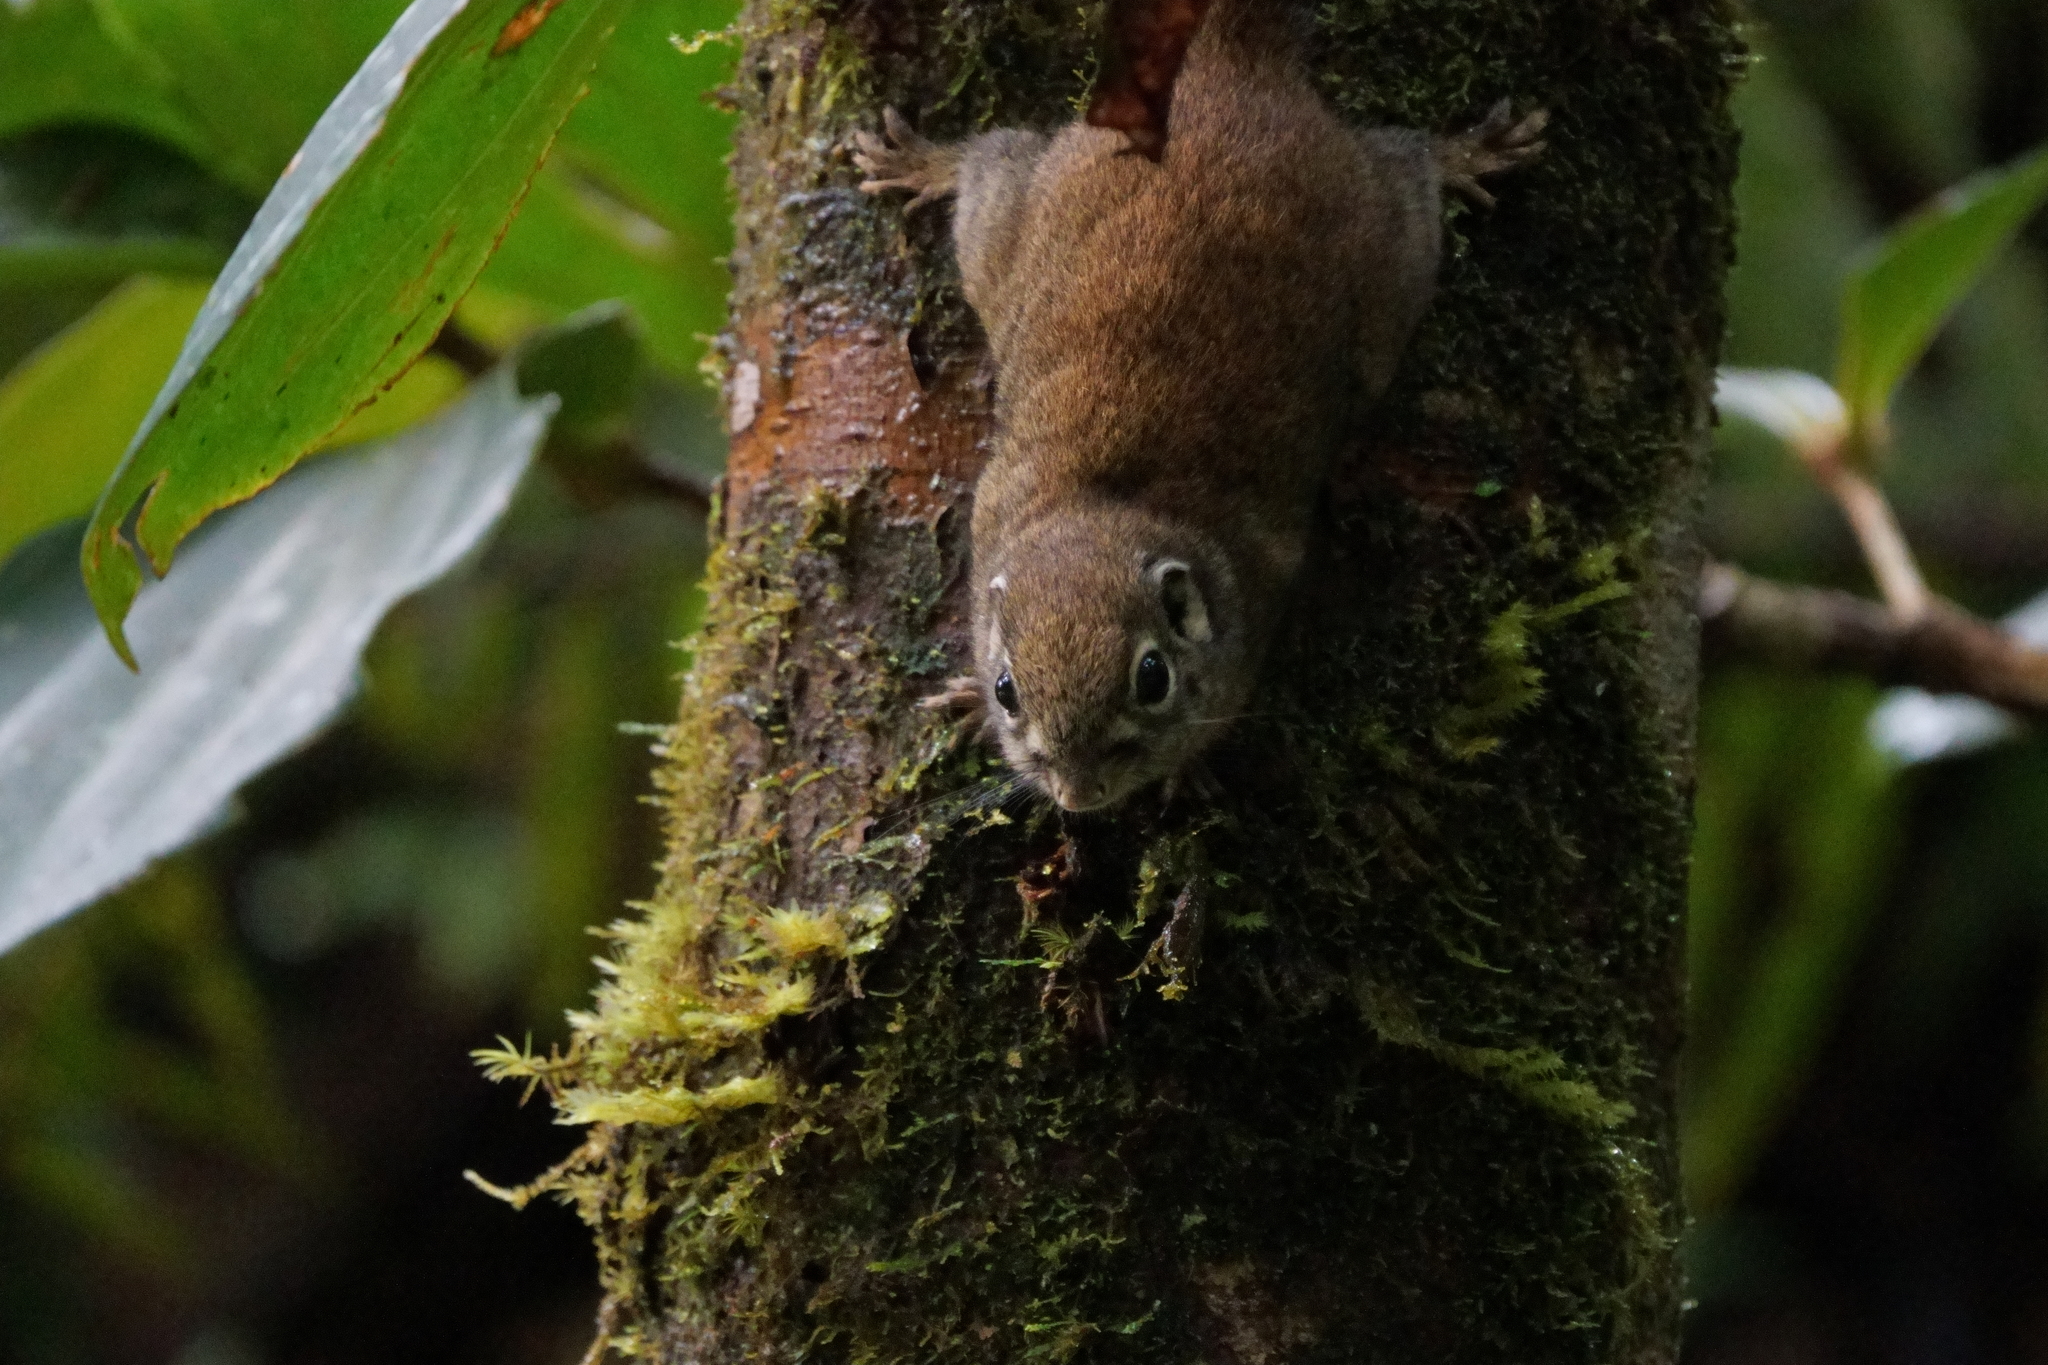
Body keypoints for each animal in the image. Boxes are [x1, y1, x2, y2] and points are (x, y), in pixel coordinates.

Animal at [853, 0, 1545, 813]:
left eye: (1153, 677)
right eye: (1007, 690)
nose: (1078, 796)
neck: (1105, 500)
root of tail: (1223, 73)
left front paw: (1189, 764)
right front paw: (963, 700)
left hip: (1387, 269)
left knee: (1410, 165)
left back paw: (1467, 153)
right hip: (1010, 226)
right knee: (990, 160)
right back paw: (923, 161)